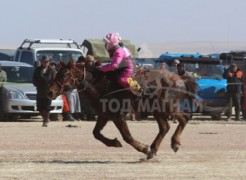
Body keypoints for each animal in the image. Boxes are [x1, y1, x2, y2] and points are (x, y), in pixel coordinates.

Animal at [48, 59, 198, 159]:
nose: (50, 92)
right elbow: (96, 133)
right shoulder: (104, 116)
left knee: (184, 118)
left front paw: (143, 148)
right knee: (165, 127)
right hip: (157, 110)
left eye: (65, 74)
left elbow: (127, 137)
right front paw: (114, 142)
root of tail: (181, 79)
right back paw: (155, 148)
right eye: (57, 73)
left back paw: (174, 143)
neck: (101, 86)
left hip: (168, 106)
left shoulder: (118, 116)